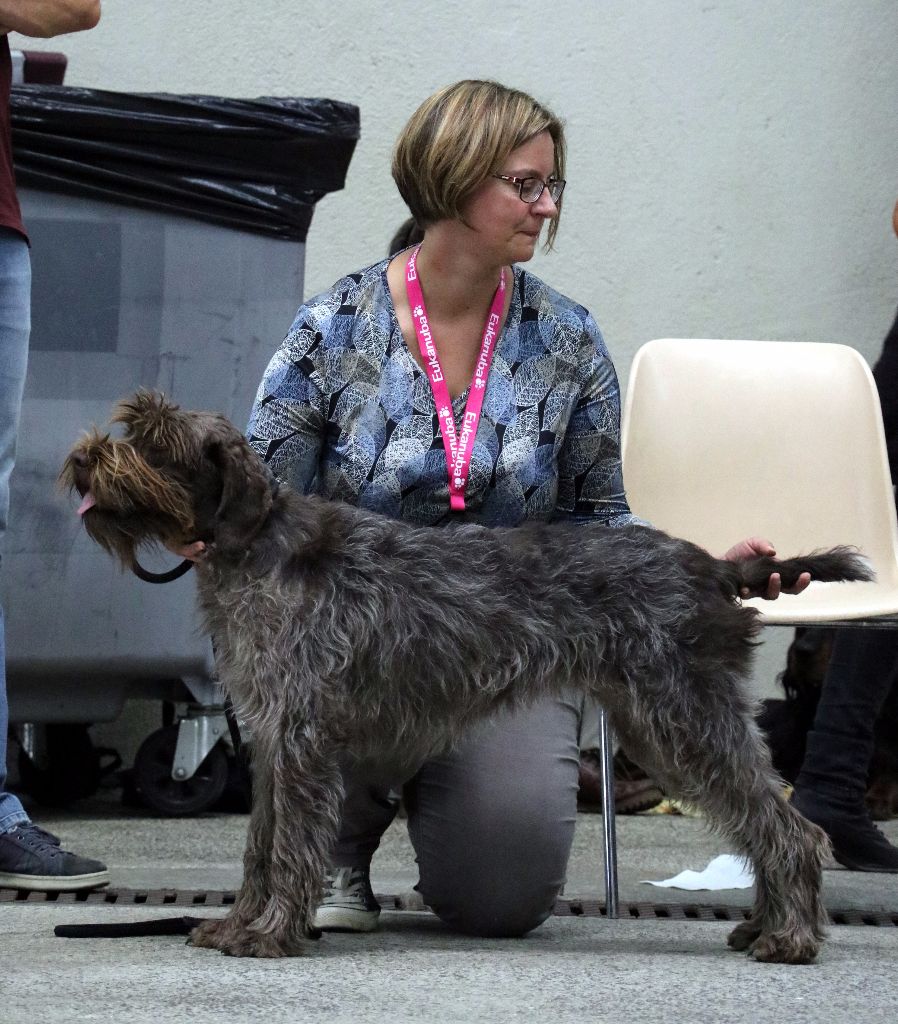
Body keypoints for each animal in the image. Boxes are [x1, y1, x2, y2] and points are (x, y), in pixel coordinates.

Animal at [59, 391, 872, 958]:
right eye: (131, 429)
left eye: (157, 443)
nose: (85, 454)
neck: (253, 547)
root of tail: (714, 566)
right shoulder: (272, 739)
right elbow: (260, 845)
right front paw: (237, 925)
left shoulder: (298, 738)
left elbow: (287, 846)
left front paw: (267, 935)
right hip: (673, 726)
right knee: (762, 820)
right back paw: (764, 927)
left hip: (682, 721)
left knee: (788, 828)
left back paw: (790, 937)